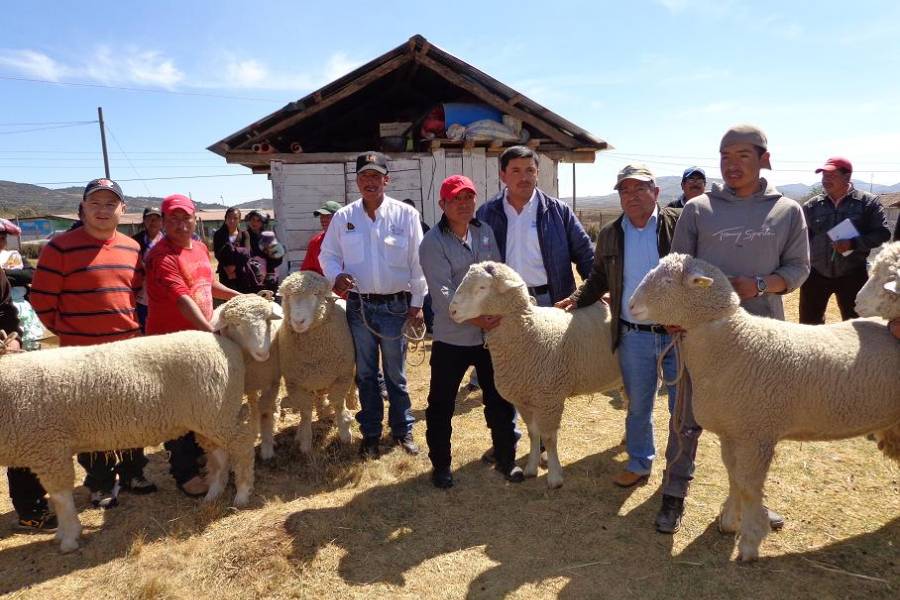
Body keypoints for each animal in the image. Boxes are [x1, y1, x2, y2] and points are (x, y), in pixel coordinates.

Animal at [0, 332, 256, 552]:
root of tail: (227, 345)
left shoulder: (49, 447)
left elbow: (61, 498)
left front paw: (69, 537)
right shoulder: (46, 449)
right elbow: (57, 497)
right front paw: (63, 533)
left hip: (219, 410)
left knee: (242, 445)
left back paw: (242, 494)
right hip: (208, 416)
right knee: (220, 455)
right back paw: (214, 493)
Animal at [278, 270, 358, 452]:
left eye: (315, 294)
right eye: (288, 296)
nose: (298, 321)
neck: (314, 350)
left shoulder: (342, 376)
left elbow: (338, 404)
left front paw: (345, 433)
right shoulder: (295, 384)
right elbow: (306, 412)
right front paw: (305, 441)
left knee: (352, 387)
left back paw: (352, 402)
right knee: (319, 396)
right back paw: (322, 409)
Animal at [450, 262, 624, 488]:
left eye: (482, 287)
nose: (451, 310)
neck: (530, 330)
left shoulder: (549, 399)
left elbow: (549, 438)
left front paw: (555, 477)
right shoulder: (523, 399)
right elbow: (533, 434)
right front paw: (531, 468)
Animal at [624, 251, 900, 560]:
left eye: (669, 281)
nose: (630, 306)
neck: (734, 343)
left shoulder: (756, 435)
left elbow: (748, 485)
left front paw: (750, 540)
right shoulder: (732, 432)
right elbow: (733, 476)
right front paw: (730, 521)